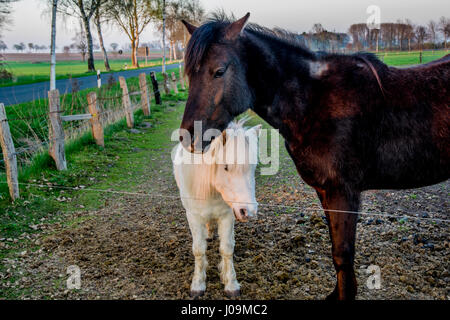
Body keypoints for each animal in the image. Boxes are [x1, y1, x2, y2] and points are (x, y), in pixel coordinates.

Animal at [173, 120, 264, 298]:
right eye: (226, 167)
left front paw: (231, 284)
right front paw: (198, 284)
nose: (249, 212)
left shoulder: (228, 215)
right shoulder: (193, 216)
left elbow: (227, 248)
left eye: (254, 167)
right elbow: (199, 250)